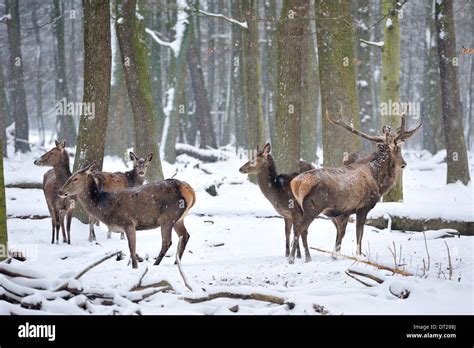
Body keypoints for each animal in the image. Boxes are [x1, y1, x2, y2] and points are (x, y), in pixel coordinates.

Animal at [58, 162, 195, 268]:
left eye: (75, 179)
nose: (60, 191)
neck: (104, 207)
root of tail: (189, 190)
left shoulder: (128, 222)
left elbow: (131, 248)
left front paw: (135, 266)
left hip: (167, 217)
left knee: (167, 242)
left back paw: (156, 264)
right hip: (178, 219)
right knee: (185, 235)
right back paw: (176, 263)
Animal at [288, 109, 418, 264]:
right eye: (398, 149)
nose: (404, 164)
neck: (377, 180)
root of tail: (296, 183)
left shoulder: (344, 212)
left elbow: (341, 235)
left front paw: (336, 256)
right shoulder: (363, 207)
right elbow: (359, 234)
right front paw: (359, 256)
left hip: (299, 207)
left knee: (301, 229)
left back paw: (307, 257)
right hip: (312, 207)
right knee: (300, 228)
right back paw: (292, 259)